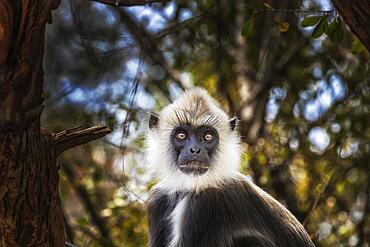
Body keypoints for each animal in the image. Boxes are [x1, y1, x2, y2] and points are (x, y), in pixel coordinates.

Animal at [145, 88, 316, 247]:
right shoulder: (159, 198)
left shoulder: (205, 202)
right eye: (181, 135)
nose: (195, 150)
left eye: (208, 137)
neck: (189, 186)